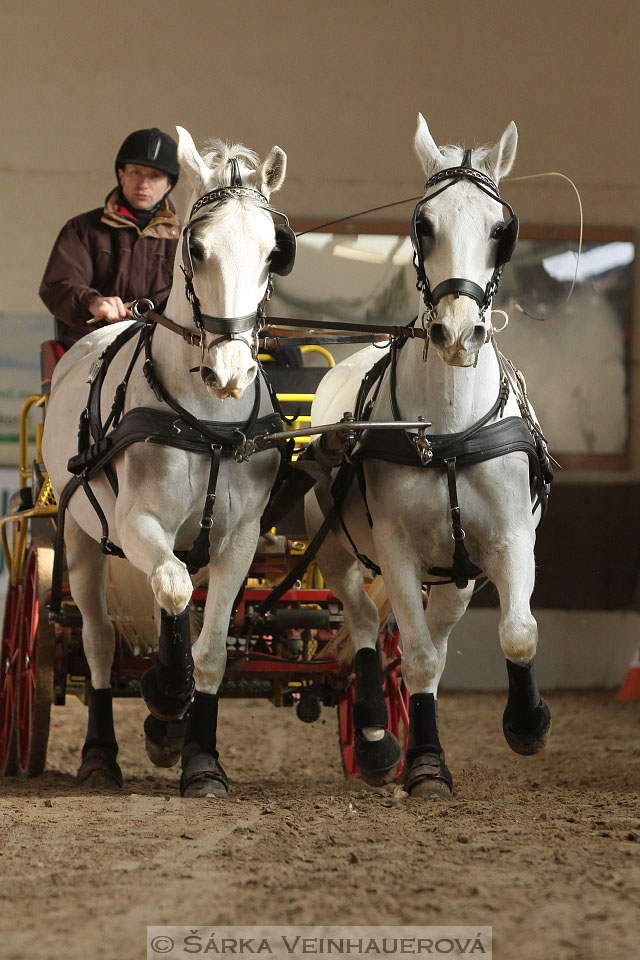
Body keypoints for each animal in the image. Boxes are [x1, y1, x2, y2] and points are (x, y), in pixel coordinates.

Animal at [43, 129, 294, 804]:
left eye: (274, 252)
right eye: (197, 246)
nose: (230, 371)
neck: (209, 423)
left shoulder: (240, 539)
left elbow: (209, 648)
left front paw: (199, 756)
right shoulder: (136, 523)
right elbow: (174, 591)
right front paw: (164, 698)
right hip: (83, 538)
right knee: (101, 641)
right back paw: (101, 753)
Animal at [308, 116, 552, 800]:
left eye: (501, 229)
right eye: (424, 225)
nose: (458, 333)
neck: (446, 435)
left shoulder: (509, 540)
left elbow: (517, 633)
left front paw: (527, 723)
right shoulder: (395, 549)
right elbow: (412, 655)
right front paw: (421, 762)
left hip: (455, 575)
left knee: (430, 639)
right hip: (334, 545)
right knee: (366, 625)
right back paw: (374, 739)